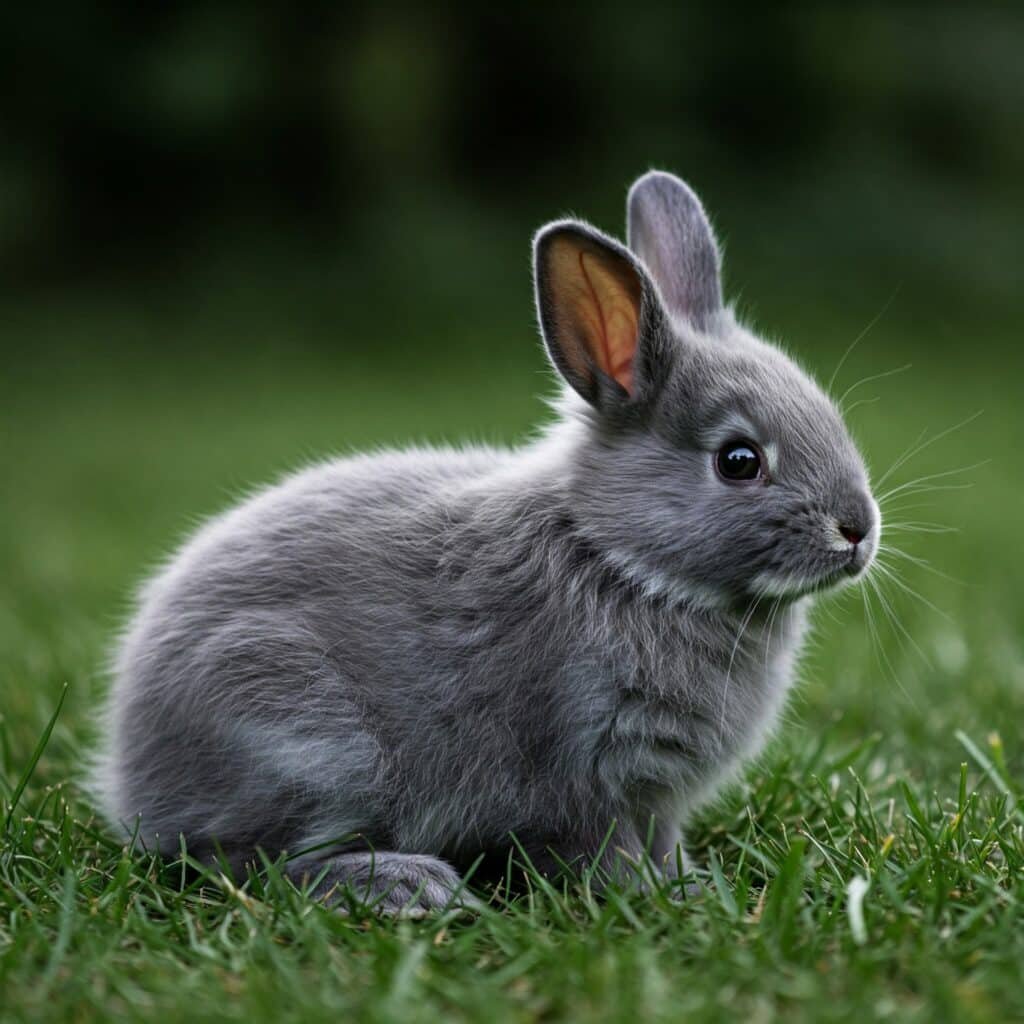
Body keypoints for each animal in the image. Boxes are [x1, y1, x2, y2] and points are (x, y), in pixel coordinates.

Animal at [90, 171, 879, 915]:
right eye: (739, 461)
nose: (858, 531)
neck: (619, 557)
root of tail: (131, 775)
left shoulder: (654, 799)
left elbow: (660, 842)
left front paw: (686, 883)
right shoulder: (587, 770)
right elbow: (607, 852)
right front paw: (655, 896)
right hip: (304, 741)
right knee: (248, 866)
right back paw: (406, 886)